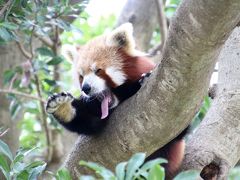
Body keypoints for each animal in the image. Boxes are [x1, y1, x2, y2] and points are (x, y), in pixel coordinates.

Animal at [46, 22, 187, 179]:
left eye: (98, 71)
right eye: (81, 76)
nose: (86, 88)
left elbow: (179, 130)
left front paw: (144, 80)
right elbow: (89, 122)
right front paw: (62, 107)